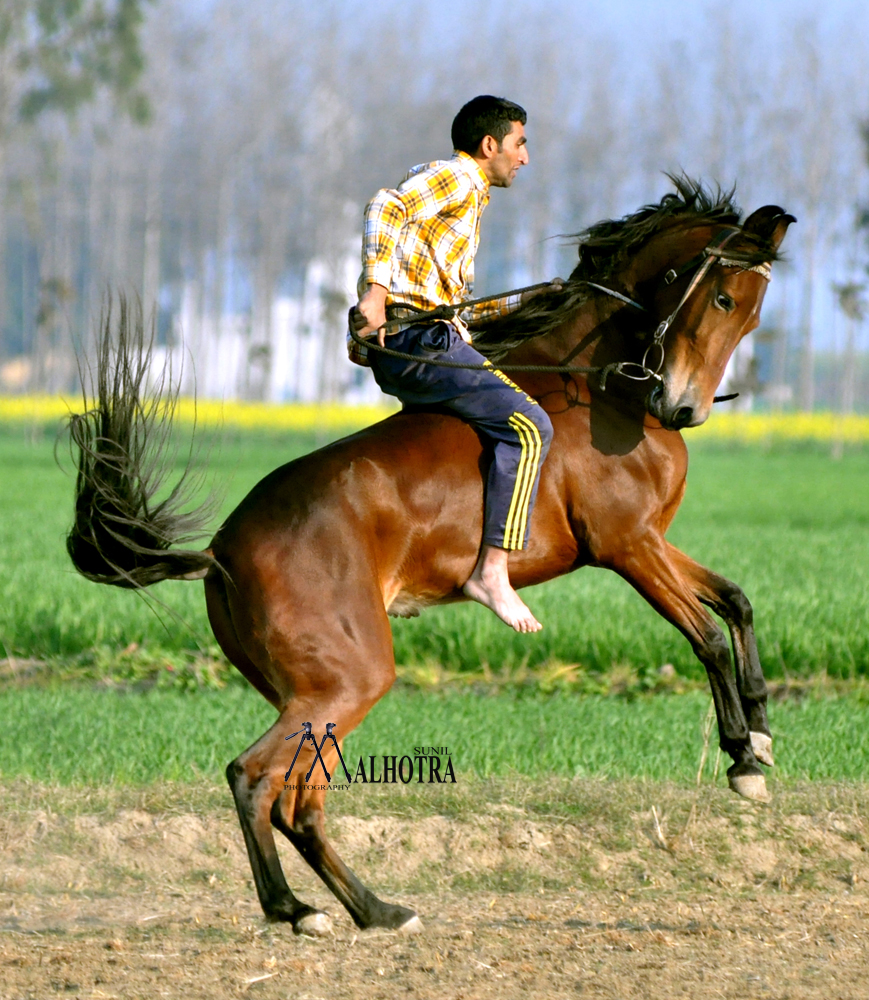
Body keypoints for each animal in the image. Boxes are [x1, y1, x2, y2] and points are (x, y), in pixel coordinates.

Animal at [64, 176, 792, 932]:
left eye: (751, 316)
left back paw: (373, 909)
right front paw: (741, 759)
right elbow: (706, 635)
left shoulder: (652, 540)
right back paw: (299, 909)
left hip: (313, 693)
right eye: (721, 298)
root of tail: (221, 547)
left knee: (299, 802)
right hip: (347, 680)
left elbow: (735, 602)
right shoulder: (627, 546)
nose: (684, 409)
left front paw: (761, 734)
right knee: (256, 779)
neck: (595, 387)